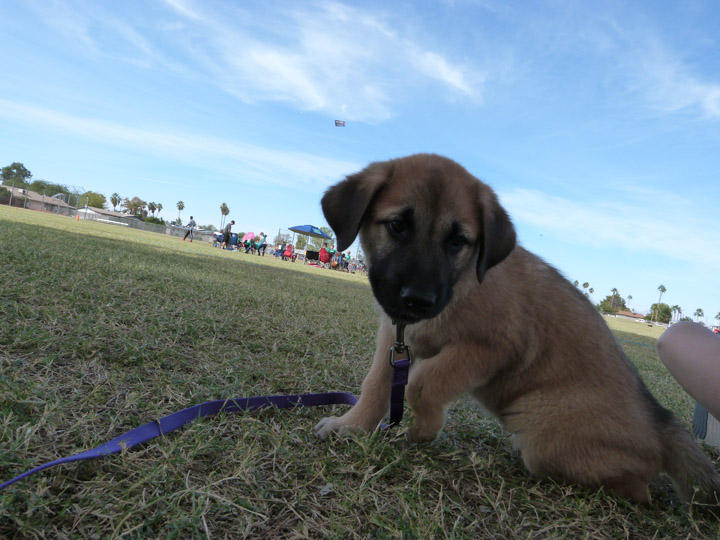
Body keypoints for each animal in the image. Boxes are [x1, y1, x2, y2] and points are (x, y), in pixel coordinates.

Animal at [316, 153, 720, 506]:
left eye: (457, 241)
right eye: (397, 225)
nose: (417, 300)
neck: (463, 284)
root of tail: (661, 423)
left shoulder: (492, 348)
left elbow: (421, 383)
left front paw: (424, 429)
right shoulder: (396, 338)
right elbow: (377, 384)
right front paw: (351, 426)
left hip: (541, 427)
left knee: (640, 489)